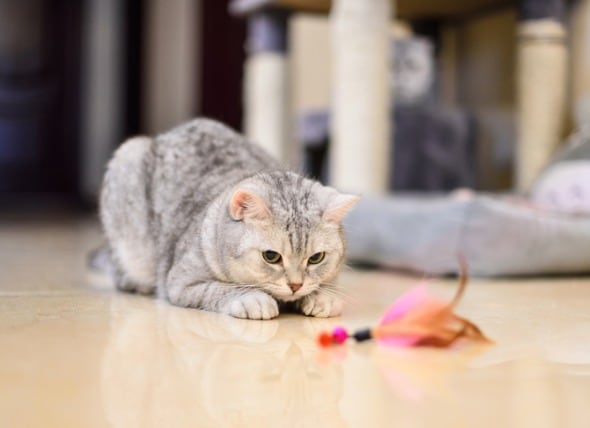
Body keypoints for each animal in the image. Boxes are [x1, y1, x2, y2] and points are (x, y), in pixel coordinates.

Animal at [99, 118, 358, 320]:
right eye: (271, 256)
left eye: (316, 258)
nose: (296, 285)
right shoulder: (182, 283)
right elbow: (221, 289)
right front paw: (253, 299)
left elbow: (326, 285)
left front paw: (322, 297)